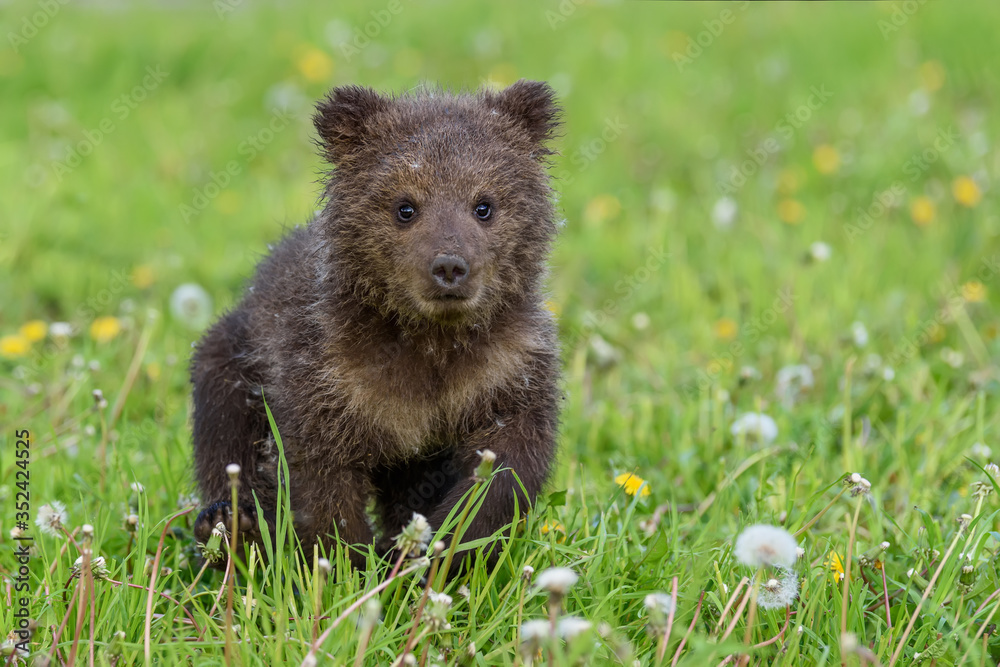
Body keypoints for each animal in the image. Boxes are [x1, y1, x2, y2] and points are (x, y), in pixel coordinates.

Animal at [190, 80, 563, 570]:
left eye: (484, 205)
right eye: (405, 207)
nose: (449, 266)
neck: (430, 339)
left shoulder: (508, 369)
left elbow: (506, 466)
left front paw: (437, 552)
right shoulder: (329, 373)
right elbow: (318, 477)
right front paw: (346, 564)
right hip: (236, 351)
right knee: (223, 425)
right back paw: (233, 525)